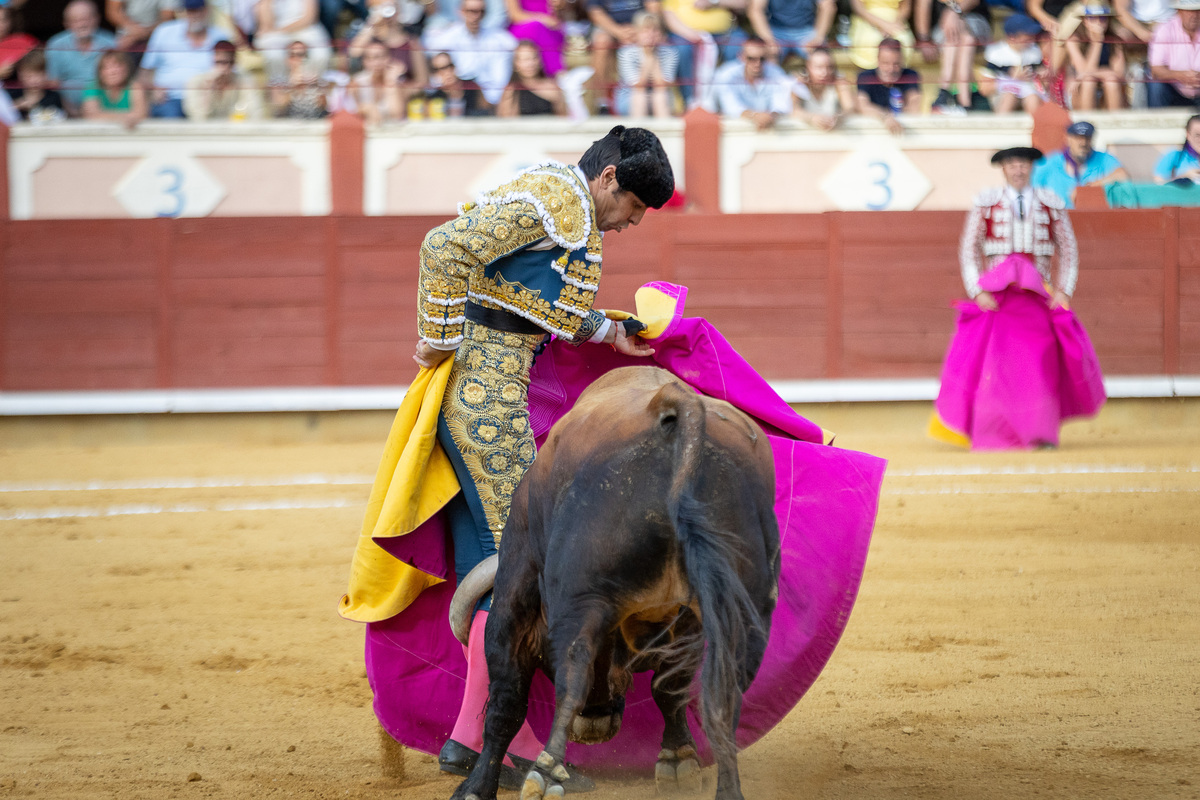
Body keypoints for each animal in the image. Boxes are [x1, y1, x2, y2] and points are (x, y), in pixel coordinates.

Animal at [448, 367, 777, 800]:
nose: (595, 725)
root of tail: (672, 405)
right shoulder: (687, 618)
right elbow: (670, 687)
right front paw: (678, 760)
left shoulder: (515, 581)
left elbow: (507, 697)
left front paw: (475, 788)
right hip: (743, 607)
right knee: (725, 694)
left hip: (582, 594)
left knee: (574, 668)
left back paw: (545, 774)